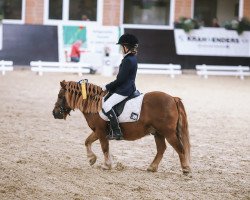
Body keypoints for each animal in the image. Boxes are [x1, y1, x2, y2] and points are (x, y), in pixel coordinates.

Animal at [51, 79, 190, 173]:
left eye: (60, 96)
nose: (54, 113)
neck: (94, 103)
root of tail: (173, 98)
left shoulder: (101, 131)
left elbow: (104, 147)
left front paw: (106, 165)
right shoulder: (98, 131)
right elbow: (87, 141)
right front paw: (91, 159)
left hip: (168, 133)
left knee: (180, 148)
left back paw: (186, 168)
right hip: (158, 133)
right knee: (161, 149)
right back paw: (152, 167)